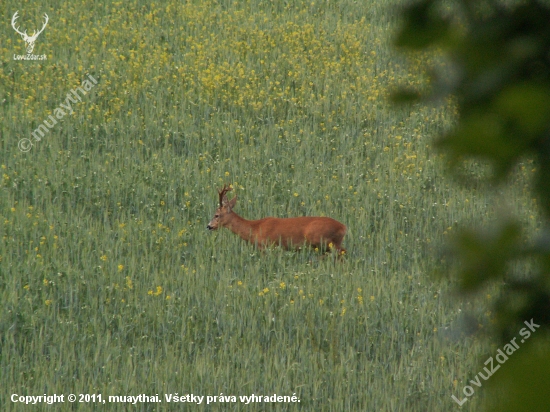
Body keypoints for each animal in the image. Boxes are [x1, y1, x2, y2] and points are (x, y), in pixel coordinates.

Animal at [209, 185, 348, 256]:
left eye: (216, 215)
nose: (209, 226)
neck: (254, 228)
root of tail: (343, 227)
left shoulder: (266, 246)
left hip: (322, 240)